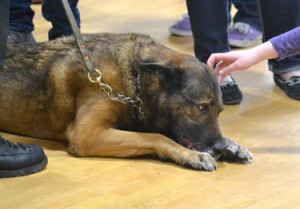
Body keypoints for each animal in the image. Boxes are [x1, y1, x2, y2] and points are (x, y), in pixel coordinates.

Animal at [0, 32, 253, 170]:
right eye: (201, 107)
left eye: (219, 111)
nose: (218, 148)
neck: (137, 79)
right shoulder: (88, 135)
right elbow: (155, 136)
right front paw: (192, 156)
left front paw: (231, 145)